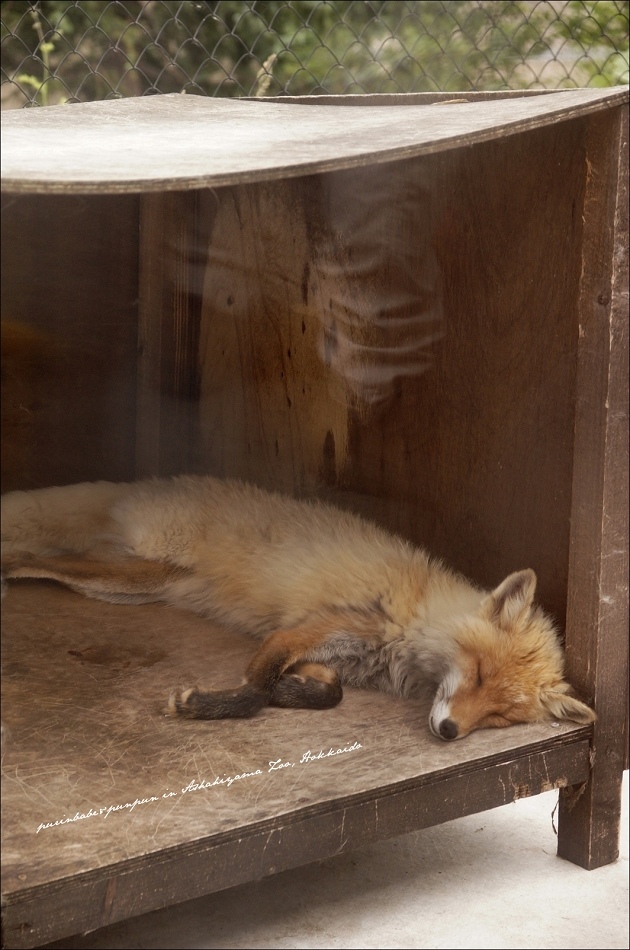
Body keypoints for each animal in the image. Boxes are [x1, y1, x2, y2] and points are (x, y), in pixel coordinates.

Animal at [1, 480, 596, 740]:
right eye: (477, 674)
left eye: (500, 715)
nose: (449, 732)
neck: (413, 628)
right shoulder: (307, 629)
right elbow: (255, 688)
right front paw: (204, 706)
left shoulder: (328, 655)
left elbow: (327, 693)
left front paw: (292, 693)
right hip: (131, 573)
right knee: (28, 556)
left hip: (131, 584)